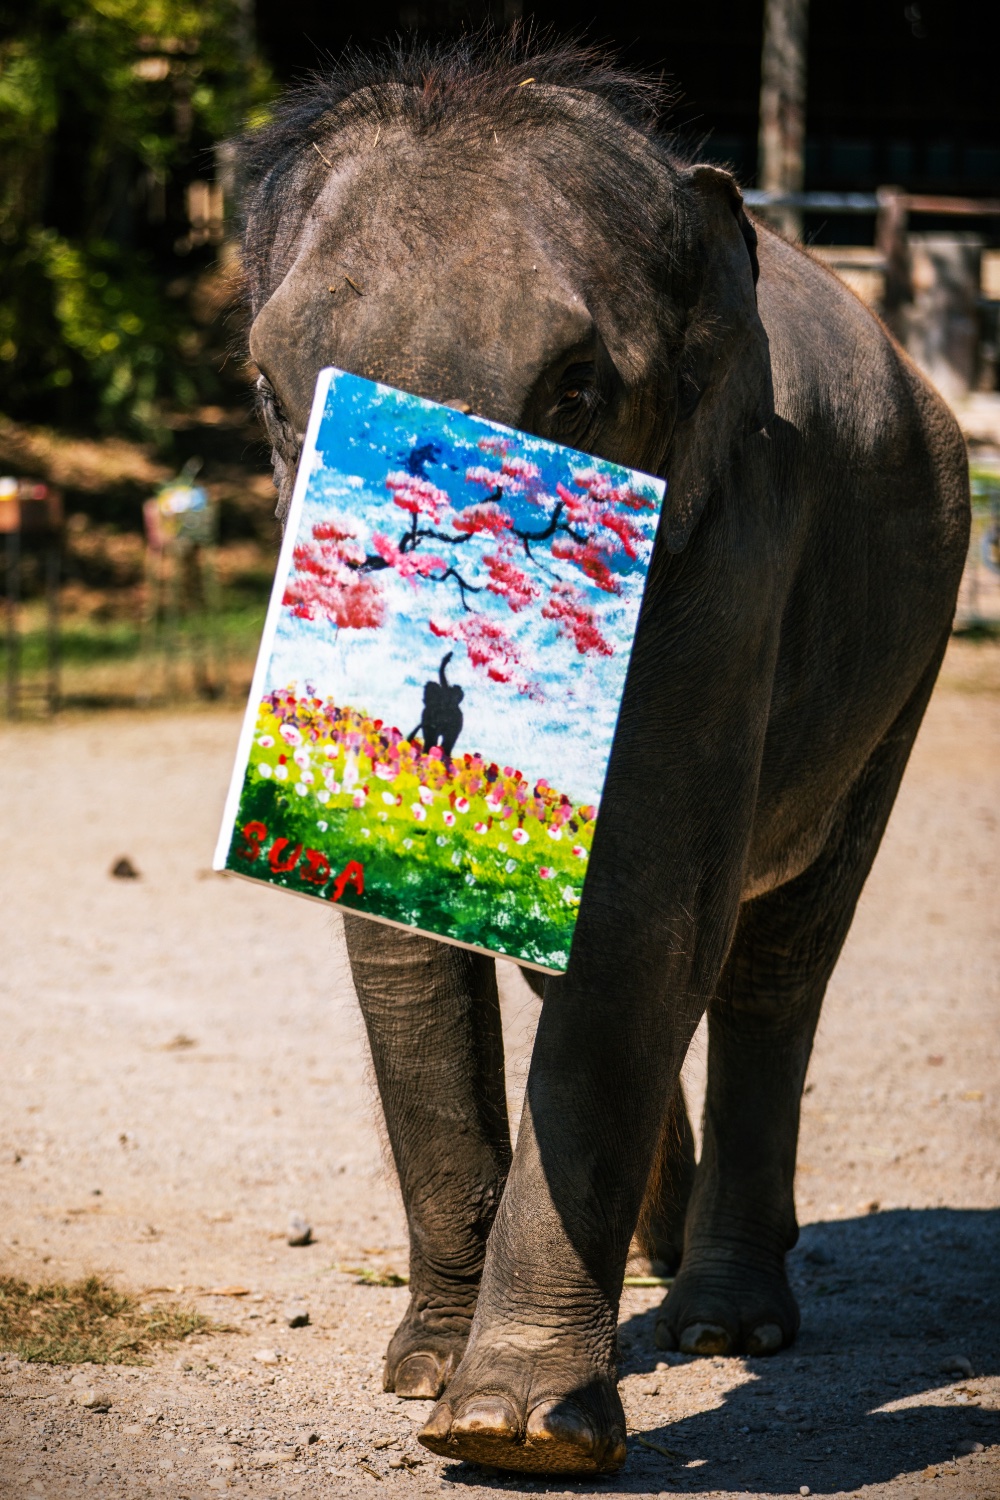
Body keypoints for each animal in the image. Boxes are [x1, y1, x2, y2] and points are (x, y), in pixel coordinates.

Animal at [237, 38, 970, 1477]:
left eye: (576, 392)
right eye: (274, 393)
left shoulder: (735, 549)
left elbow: (647, 905)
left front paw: (518, 1431)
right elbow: (425, 943)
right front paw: (423, 1375)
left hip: (911, 650)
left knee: (776, 960)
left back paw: (722, 1319)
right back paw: (656, 1253)